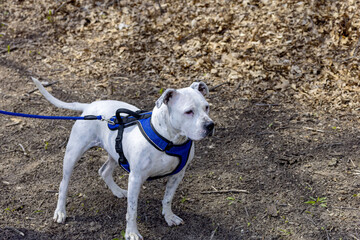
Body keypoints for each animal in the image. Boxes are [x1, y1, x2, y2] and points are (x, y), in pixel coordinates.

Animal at [31, 78, 214, 239]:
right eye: (188, 112)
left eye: (206, 107)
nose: (210, 125)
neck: (169, 140)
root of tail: (90, 106)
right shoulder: (136, 178)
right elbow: (132, 211)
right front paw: (131, 233)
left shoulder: (178, 174)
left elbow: (168, 198)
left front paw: (168, 216)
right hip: (72, 154)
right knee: (63, 184)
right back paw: (60, 211)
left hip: (115, 152)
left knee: (104, 171)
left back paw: (117, 191)